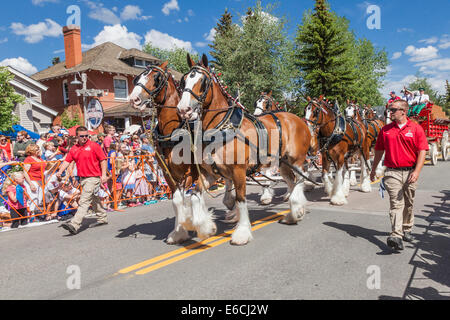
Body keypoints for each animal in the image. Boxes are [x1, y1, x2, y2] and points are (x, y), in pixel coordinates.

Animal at [128, 61, 236, 244]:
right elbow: (177, 200)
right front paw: (180, 231)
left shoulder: (189, 173)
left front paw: (192, 226)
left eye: (156, 78)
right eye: (138, 77)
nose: (134, 99)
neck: (173, 132)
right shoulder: (168, 173)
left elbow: (188, 197)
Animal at [177, 54, 312, 245]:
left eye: (203, 81)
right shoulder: (211, 174)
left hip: (296, 159)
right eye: (183, 81)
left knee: (301, 178)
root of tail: (298, 119)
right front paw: (205, 228)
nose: (183, 109)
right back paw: (294, 213)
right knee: (292, 182)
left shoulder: (238, 171)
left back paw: (297, 208)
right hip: (283, 164)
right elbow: (195, 196)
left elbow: (240, 199)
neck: (222, 128)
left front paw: (241, 232)